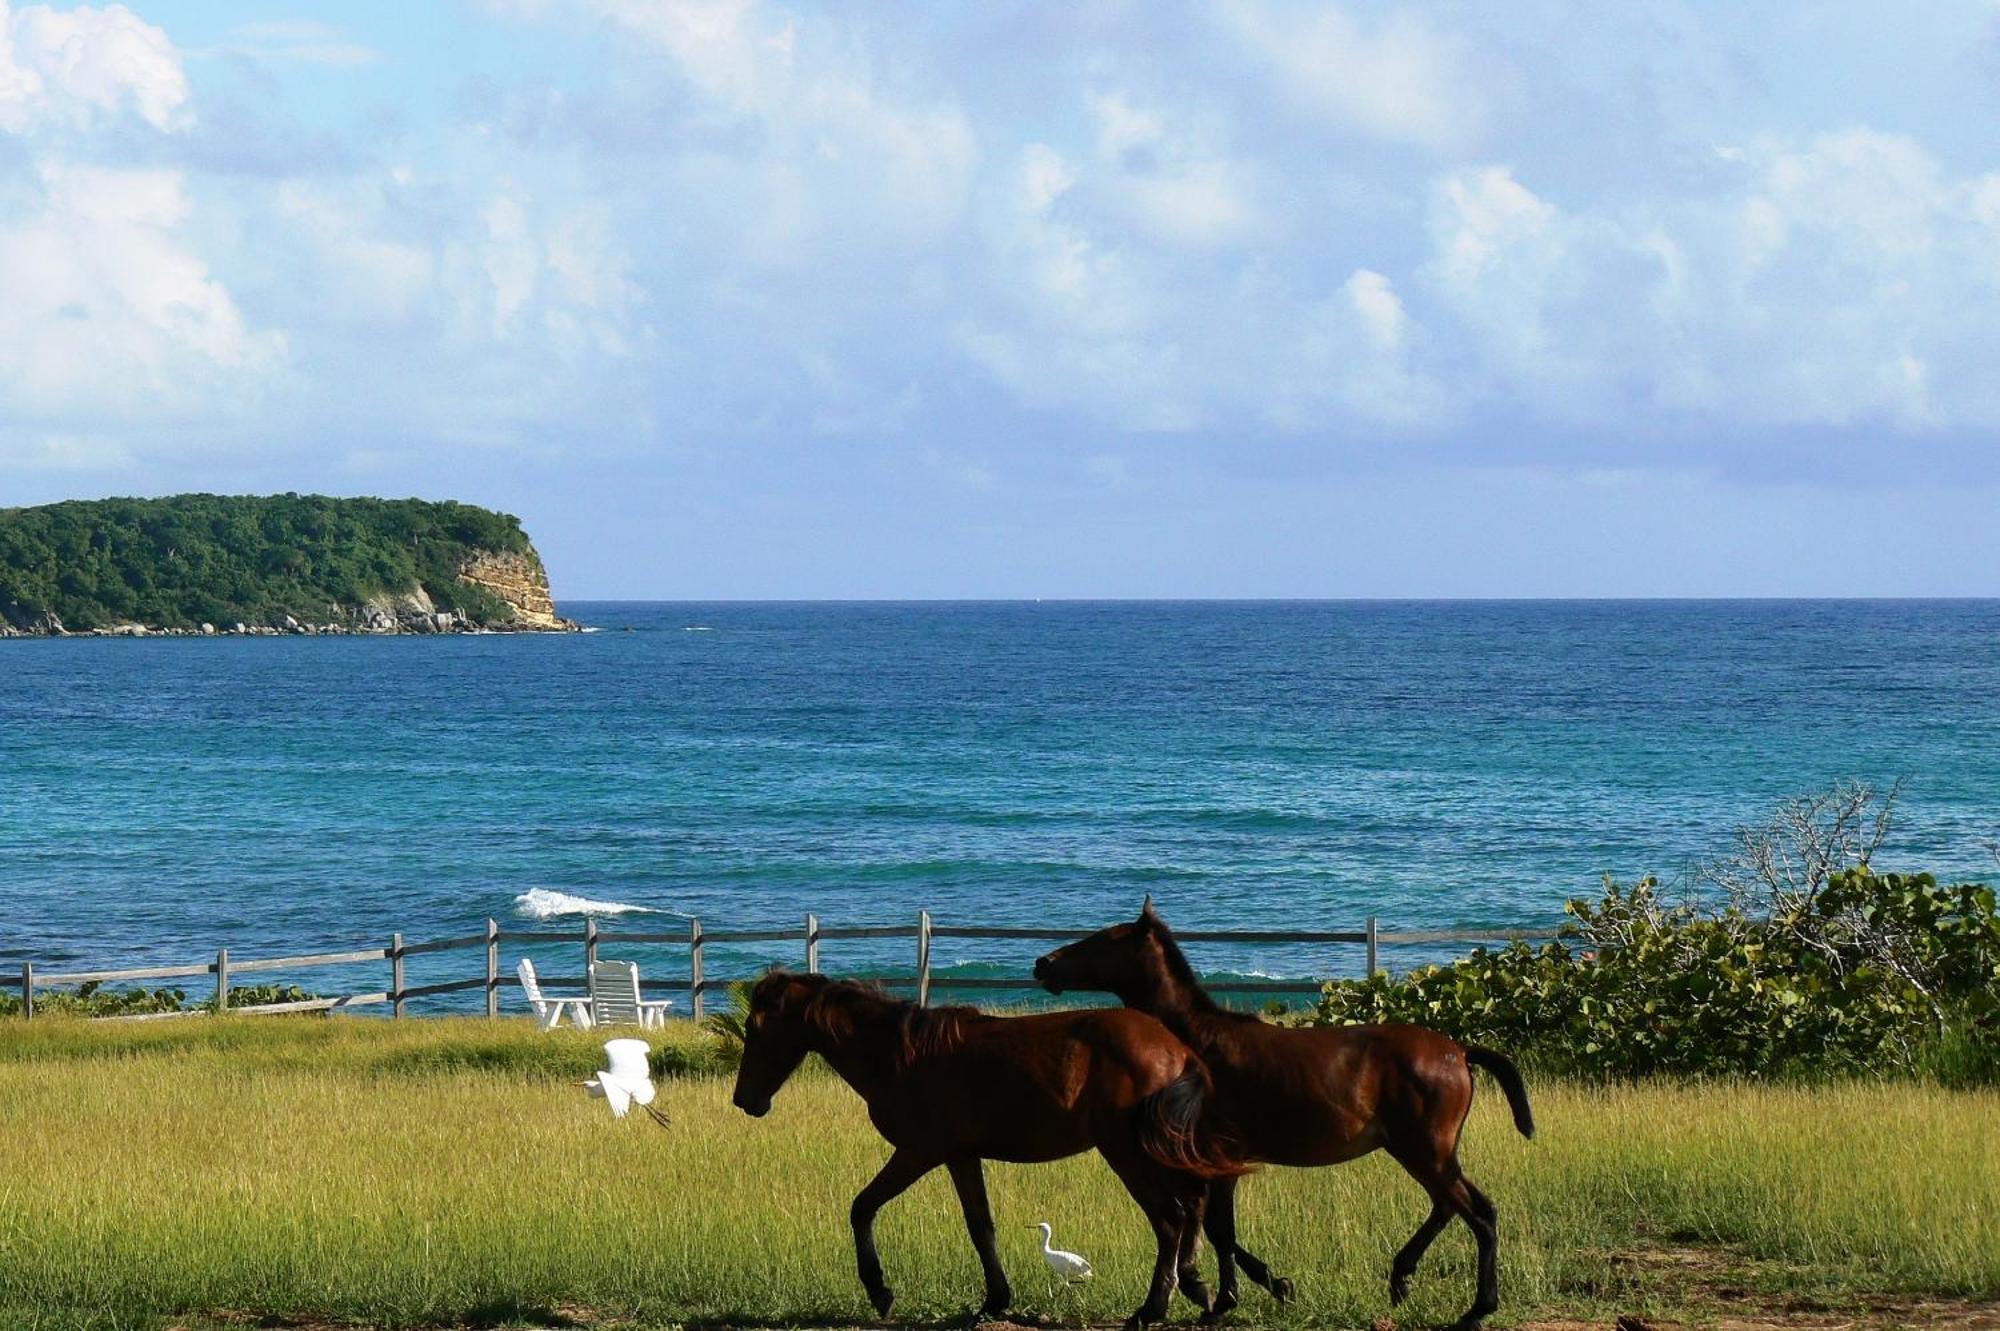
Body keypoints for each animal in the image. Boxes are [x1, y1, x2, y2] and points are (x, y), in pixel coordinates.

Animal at [728, 963, 1240, 1327]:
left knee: (1170, 1220)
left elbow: (862, 1207)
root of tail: (1176, 1049)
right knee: (1192, 1210)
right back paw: (1198, 1290)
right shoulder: (961, 1157)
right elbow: (981, 1227)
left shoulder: (919, 1153)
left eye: (755, 1028)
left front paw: (880, 1292)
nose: (744, 1100)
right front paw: (994, 1300)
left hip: (1128, 1153)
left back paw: (1153, 1309)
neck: (901, 1056)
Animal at [1032, 903, 1528, 1327]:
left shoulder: (1219, 1158)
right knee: (1451, 1206)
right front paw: (1270, 1286)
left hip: (1424, 1149)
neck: (1198, 1048)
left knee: (1478, 1213)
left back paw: (1476, 1308)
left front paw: (1224, 1300)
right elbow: (1218, 1229)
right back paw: (1403, 1278)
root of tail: (1460, 1051)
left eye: (1102, 939)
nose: (1042, 963)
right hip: (1424, 1151)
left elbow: (1219, 1229)